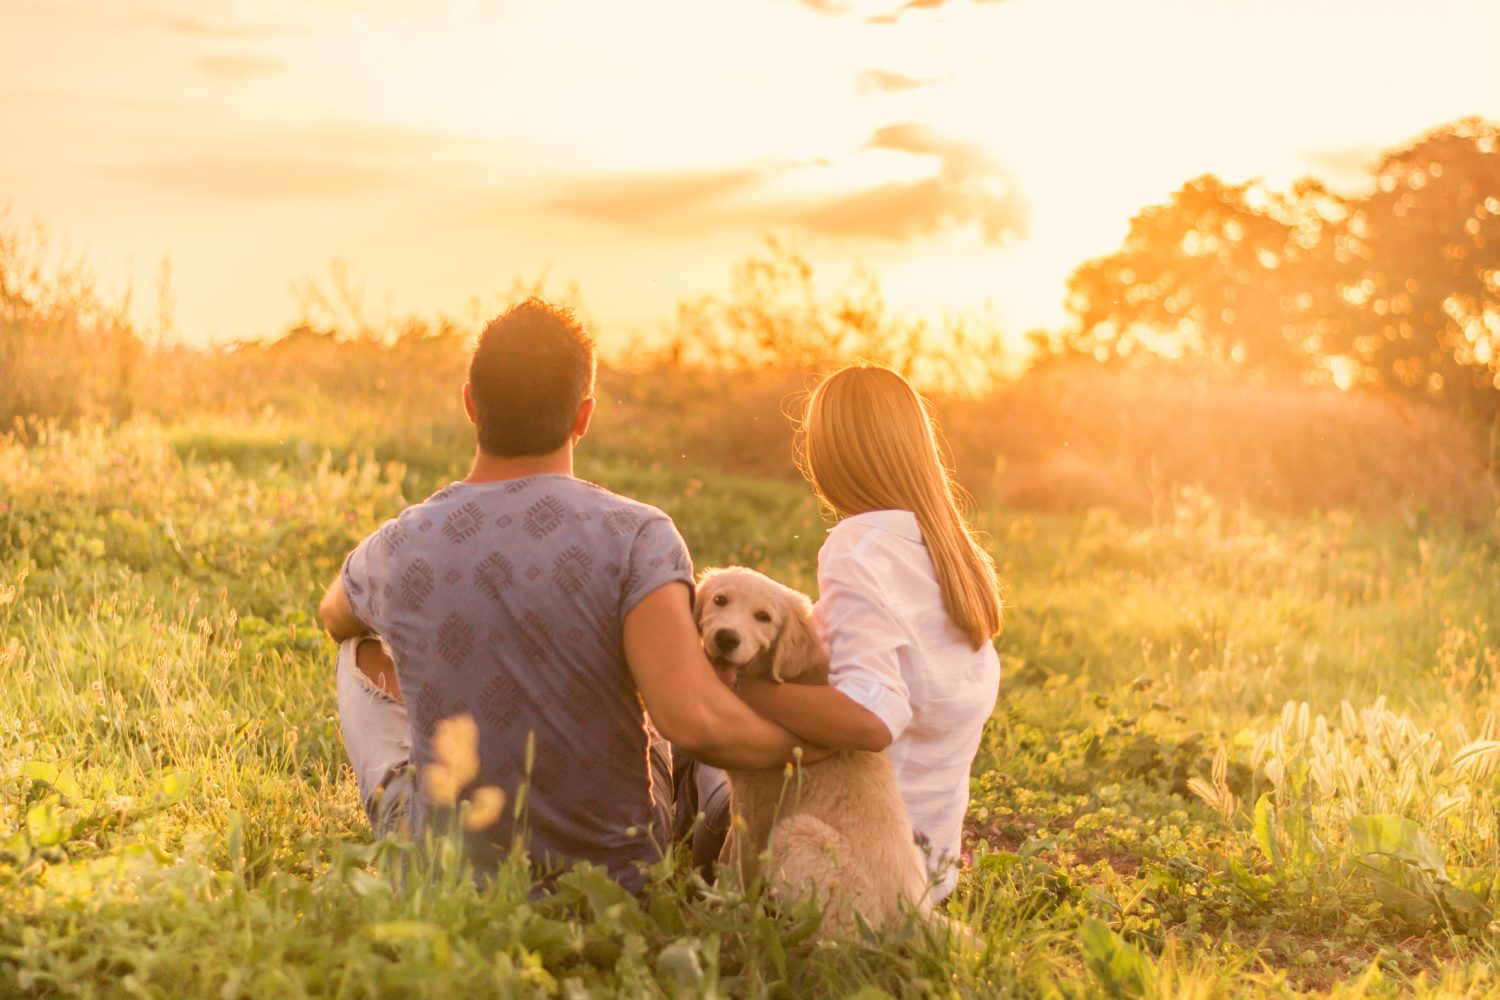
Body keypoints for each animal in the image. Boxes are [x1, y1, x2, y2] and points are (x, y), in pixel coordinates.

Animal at [696, 566, 930, 941]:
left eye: (763, 617)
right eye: (720, 600)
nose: (727, 638)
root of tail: (916, 917)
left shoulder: (758, 804)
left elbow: (737, 862)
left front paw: (718, 913)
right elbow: (730, 850)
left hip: (797, 833)